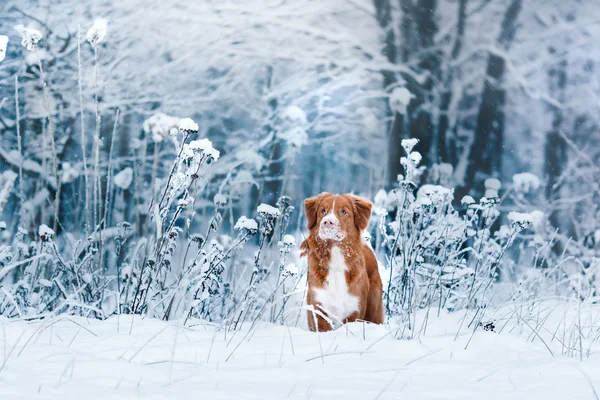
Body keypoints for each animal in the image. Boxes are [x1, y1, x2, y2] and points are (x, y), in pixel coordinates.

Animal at [300, 193, 384, 332]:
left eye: (343, 211)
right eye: (323, 210)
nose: (328, 222)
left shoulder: (354, 310)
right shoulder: (318, 308)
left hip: (374, 308)